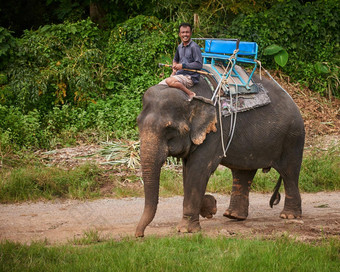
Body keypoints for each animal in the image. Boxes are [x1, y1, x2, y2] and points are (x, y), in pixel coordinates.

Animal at [135, 73, 306, 237]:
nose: (139, 235)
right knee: (243, 172)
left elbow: (199, 169)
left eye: (169, 128)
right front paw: (209, 207)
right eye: (138, 123)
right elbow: (188, 171)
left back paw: (288, 216)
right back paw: (233, 216)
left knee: (289, 172)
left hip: (293, 138)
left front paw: (186, 230)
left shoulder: (215, 131)